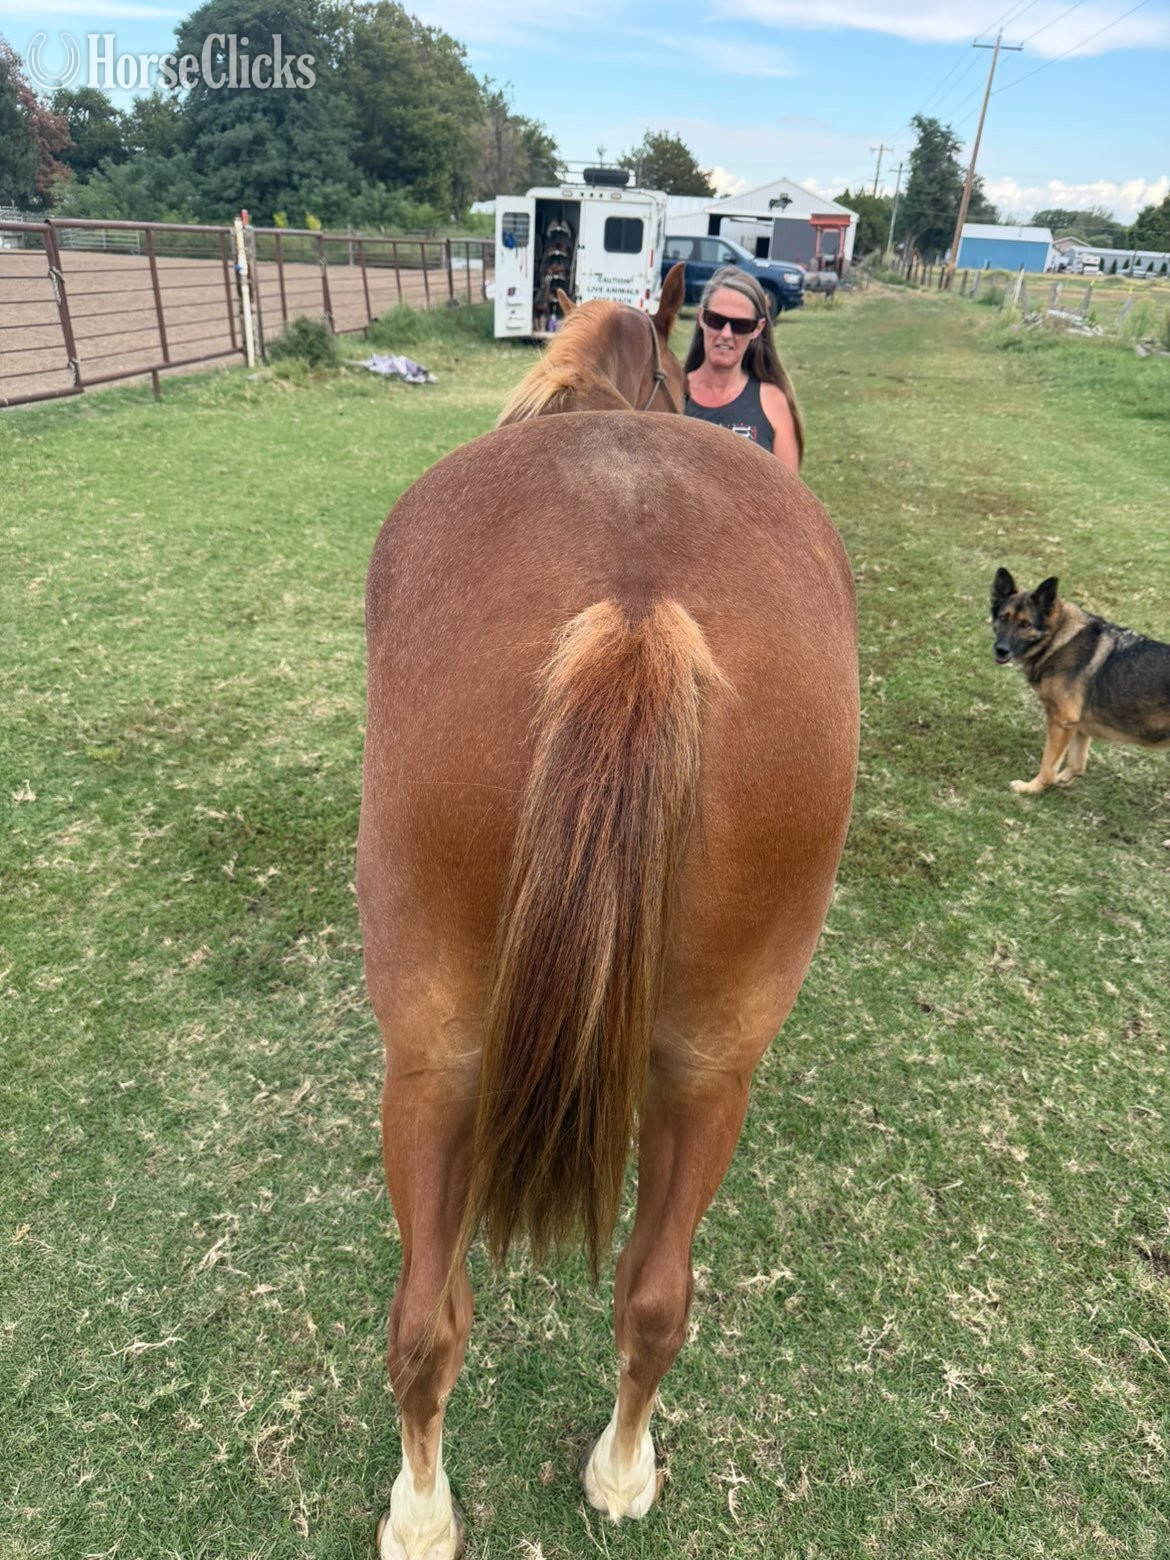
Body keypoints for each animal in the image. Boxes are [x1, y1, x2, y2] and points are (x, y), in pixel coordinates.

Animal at [357, 260, 858, 1559]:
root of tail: (636, 606)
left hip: (443, 1060)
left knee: (450, 1319)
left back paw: (461, 1505)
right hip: (700, 1062)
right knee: (636, 1299)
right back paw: (588, 1481)